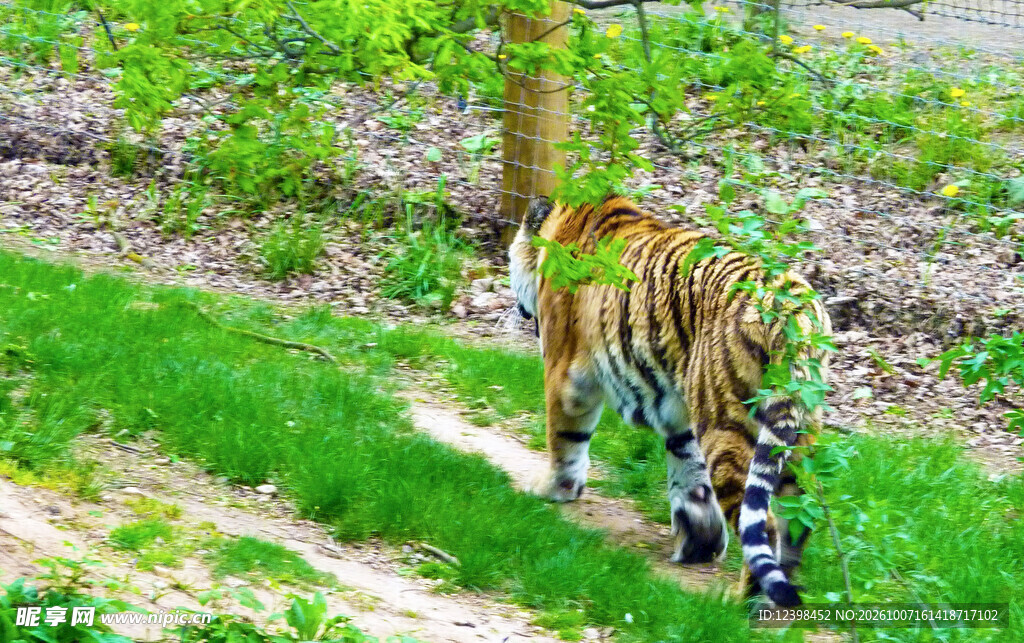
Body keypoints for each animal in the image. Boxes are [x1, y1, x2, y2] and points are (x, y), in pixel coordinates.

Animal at [508, 194, 832, 607]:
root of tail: (794, 307)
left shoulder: (566, 375)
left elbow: (564, 440)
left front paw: (552, 489)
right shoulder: (678, 407)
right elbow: (688, 466)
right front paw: (700, 539)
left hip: (726, 422)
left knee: (764, 523)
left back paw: (742, 602)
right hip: (798, 431)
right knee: (799, 518)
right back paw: (779, 598)